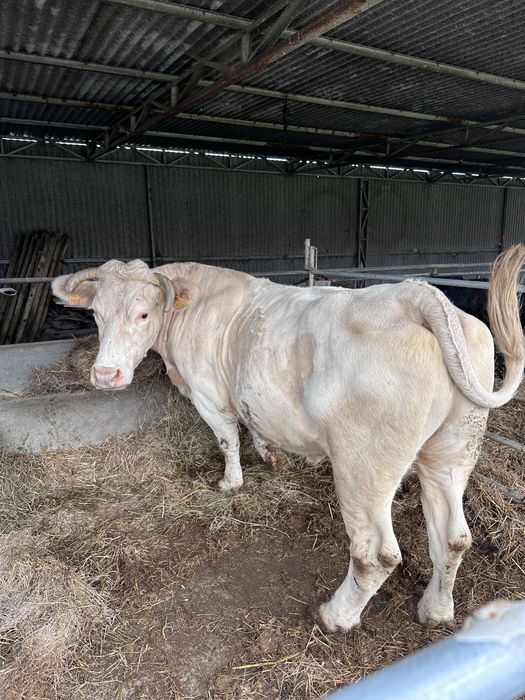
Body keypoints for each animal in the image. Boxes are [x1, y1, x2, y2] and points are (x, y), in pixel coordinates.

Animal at [52, 245, 525, 634]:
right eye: (96, 314)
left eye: (143, 314)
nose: (104, 375)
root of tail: (414, 294)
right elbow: (256, 424)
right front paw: (271, 456)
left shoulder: (209, 396)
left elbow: (227, 439)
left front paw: (230, 482)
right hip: (452, 449)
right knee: (453, 537)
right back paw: (435, 610)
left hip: (363, 467)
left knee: (375, 555)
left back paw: (336, 616)